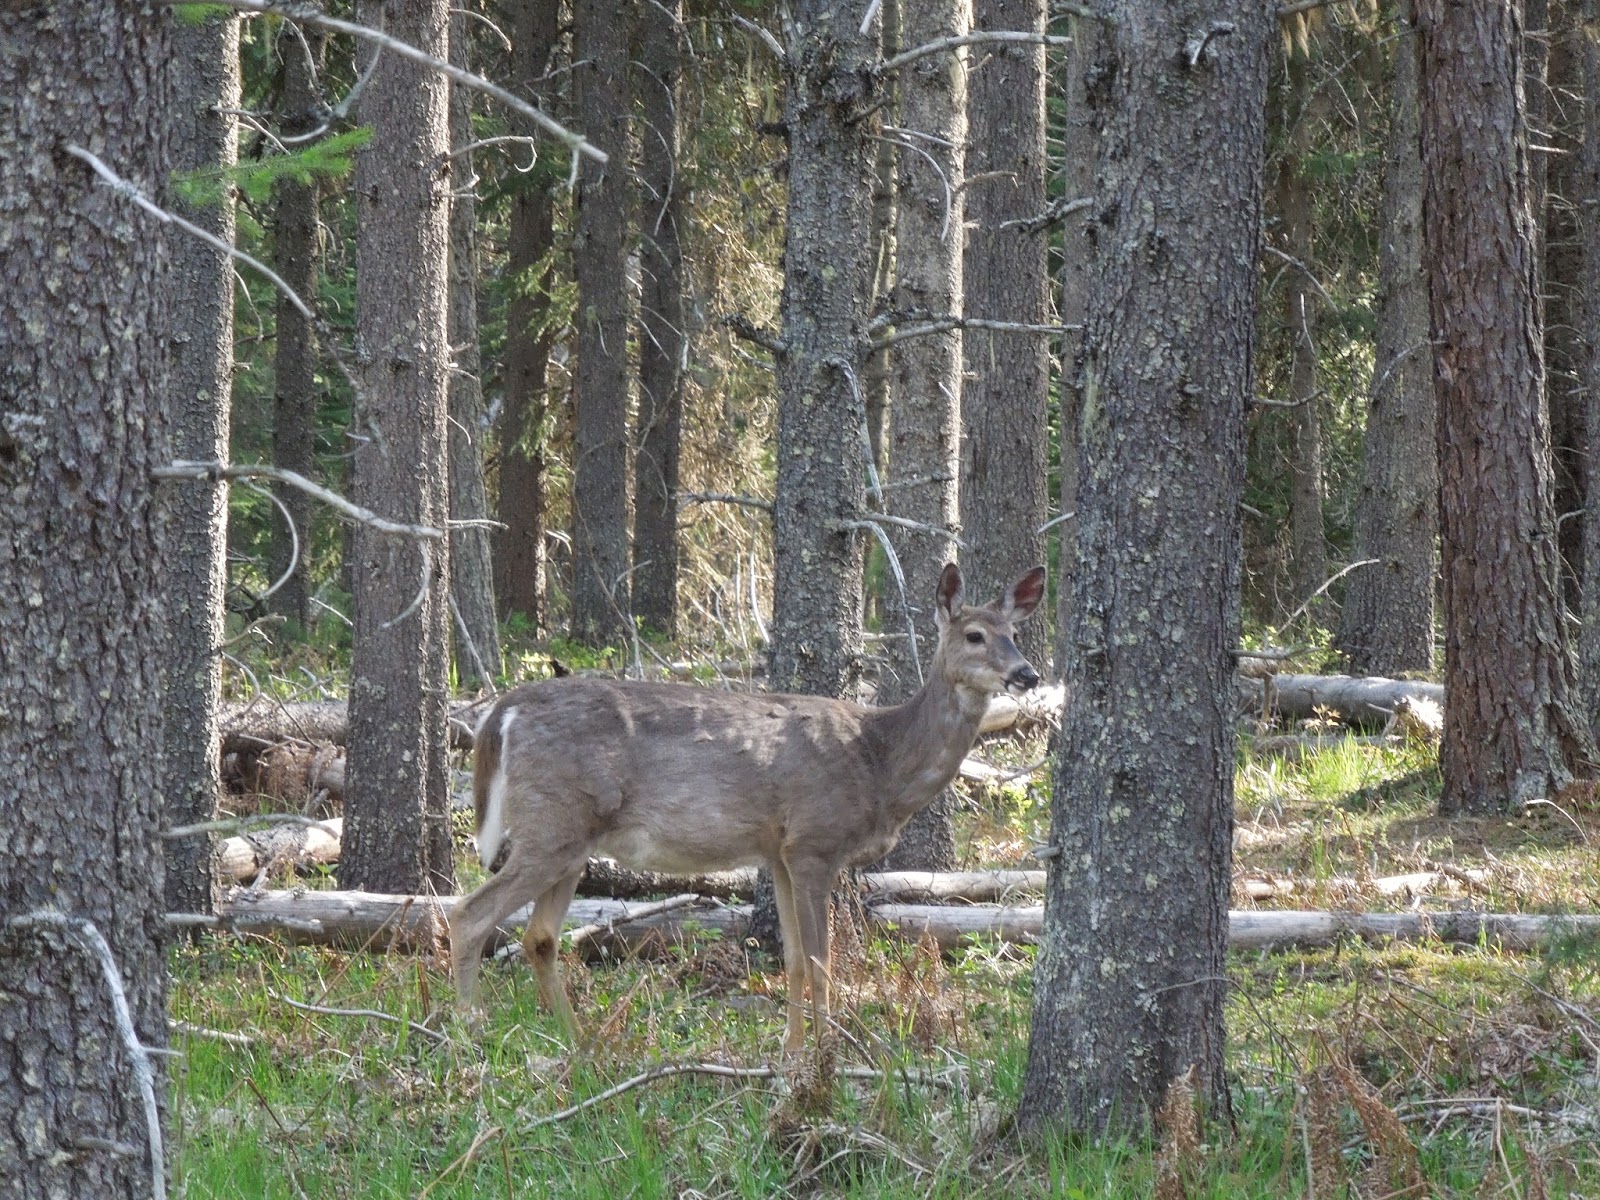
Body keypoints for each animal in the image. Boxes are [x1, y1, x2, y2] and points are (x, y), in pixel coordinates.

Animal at [449, 562, 1045, 1056]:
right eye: (974, 635)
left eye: (1014, 635)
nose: (1028, 675)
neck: (879, 762)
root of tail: (502, 711)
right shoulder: (814, 841)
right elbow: (819, 960)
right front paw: (827, 1056)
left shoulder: (778, 851)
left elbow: (794, 961)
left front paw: (791, 1054)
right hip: (551, 825)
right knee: (468, 915)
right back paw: (468, 1033)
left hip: (571, 840)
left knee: (539, 936)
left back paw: (578, 1044)